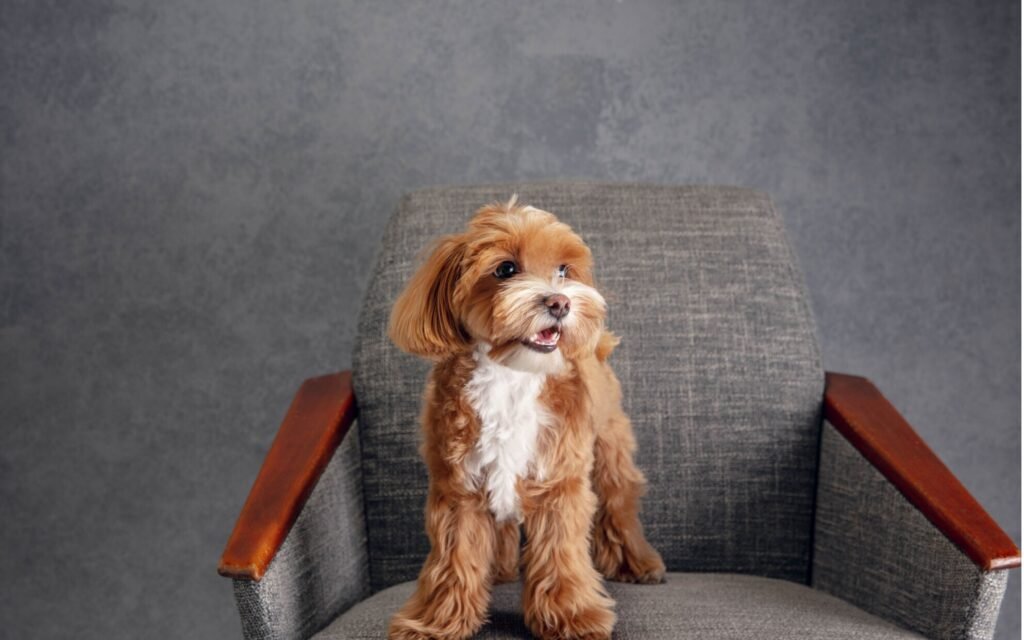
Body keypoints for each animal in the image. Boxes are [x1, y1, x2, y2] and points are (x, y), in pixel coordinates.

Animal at [385, 197, 663, 634]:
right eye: (505, 269)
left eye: (563, 270)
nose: (560, 302)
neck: (512, 373)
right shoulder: (459, 486)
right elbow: (453, 559)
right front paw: (437, 622)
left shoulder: (559, 480)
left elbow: (560, 552)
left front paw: (572, 617)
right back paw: (498, 570)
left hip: (610, 447)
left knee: (619, 500)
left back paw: (636, 563)